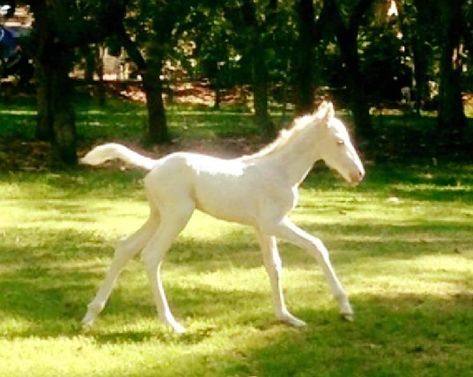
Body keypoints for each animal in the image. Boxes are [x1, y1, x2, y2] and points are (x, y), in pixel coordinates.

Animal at [79, 100, 364, 332]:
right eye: (339, 141)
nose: (359, 174)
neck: (279, 172)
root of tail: (155, 165)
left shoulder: (263, 227)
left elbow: (273, 265)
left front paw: (286, 317)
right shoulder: (274, 223)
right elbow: (317, 246)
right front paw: (345, 308)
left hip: (157, 215)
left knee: (125, 247)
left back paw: (90, 316)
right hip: (177, 215)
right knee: (150, 255)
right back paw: (171, 324)